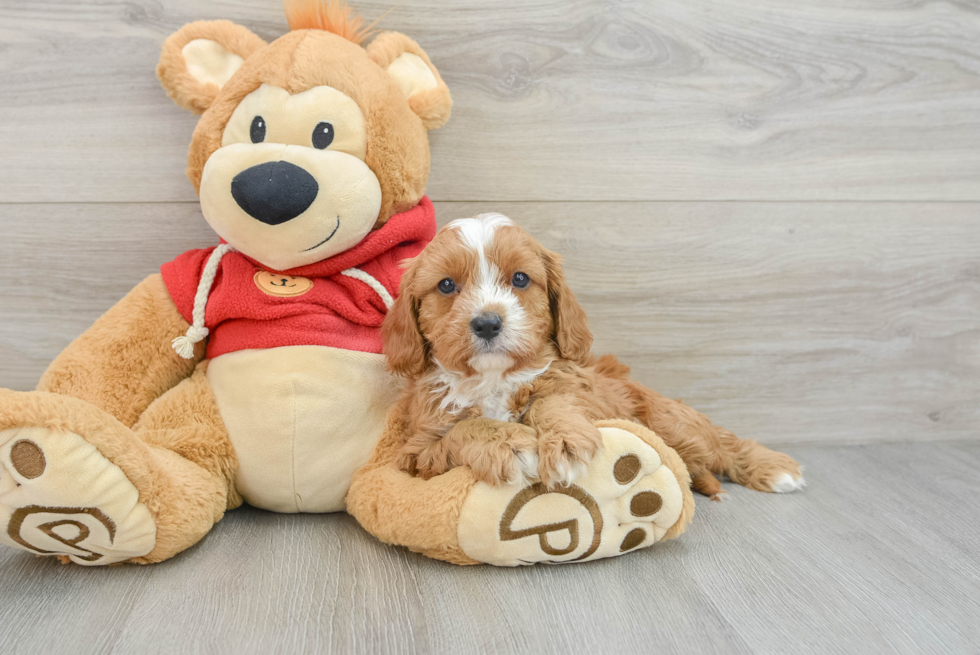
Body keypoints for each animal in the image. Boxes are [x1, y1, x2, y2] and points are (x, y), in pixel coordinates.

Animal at [382, 213, 804, 500]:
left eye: (520, 279)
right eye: (446, 285)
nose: (487, 323)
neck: (494, 379)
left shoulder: (581, 391)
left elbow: (554, 400)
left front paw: (564, 442)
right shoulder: (420, 453)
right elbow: (468, 428)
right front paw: (514, 445)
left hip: (671, 422)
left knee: (721, 441)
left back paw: (775, 468)